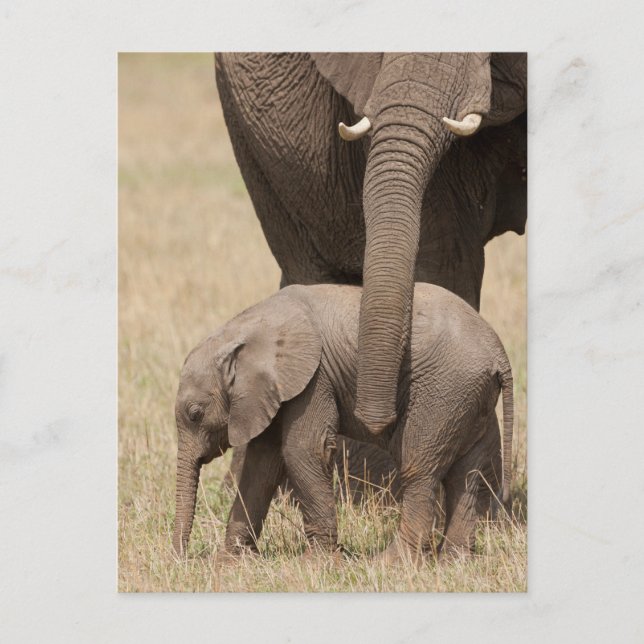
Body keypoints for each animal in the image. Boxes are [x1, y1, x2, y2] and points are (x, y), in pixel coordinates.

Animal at [172, 283, 514, 561]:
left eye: (195, 414)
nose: (184, 559)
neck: (244, 329)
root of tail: (499, 353)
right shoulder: (271, 393)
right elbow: (262, 463)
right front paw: (231, 562)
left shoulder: (314, 379)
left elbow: (303, 451)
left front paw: (316, 563)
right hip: (471, 400)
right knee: (467, 475)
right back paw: (454, 562)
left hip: (444, 394)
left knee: (420, 469)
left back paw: (391, 563)